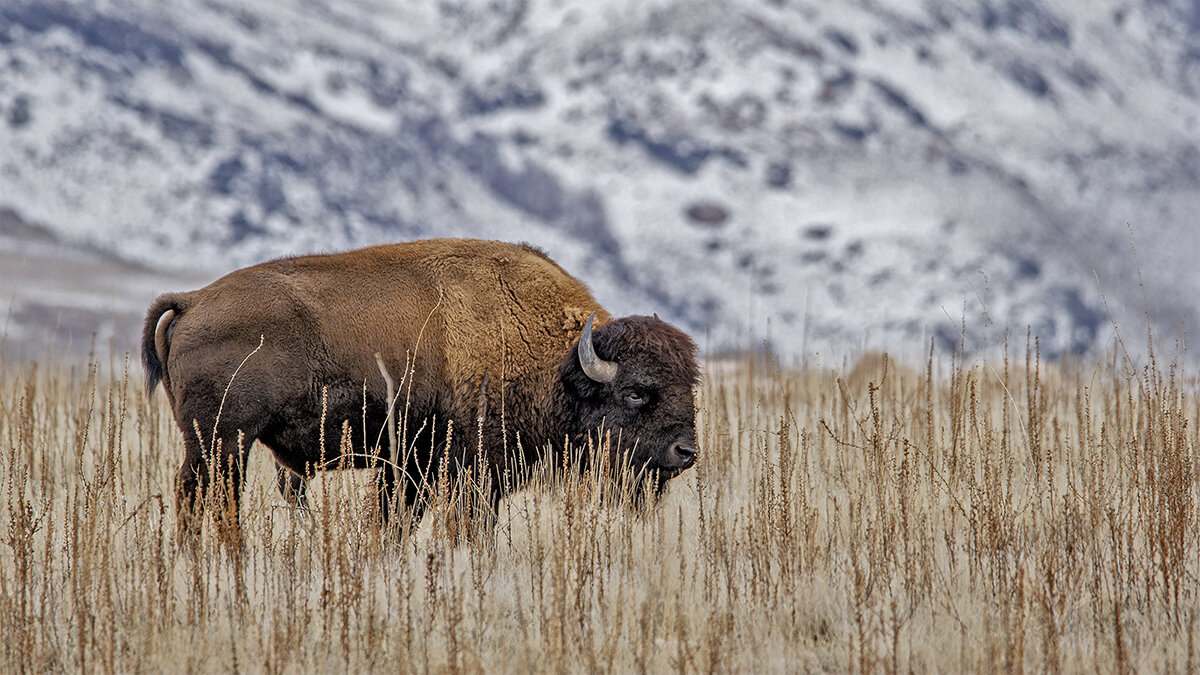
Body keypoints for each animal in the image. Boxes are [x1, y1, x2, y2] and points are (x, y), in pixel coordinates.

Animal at [144, 236, 700, 535]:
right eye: (636, 391)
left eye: (690, 387)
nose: (686, 452)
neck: (561, 365)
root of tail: (194, 300)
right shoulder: (465, 474)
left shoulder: (413, 470)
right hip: (223, 442)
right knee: (207, 498)